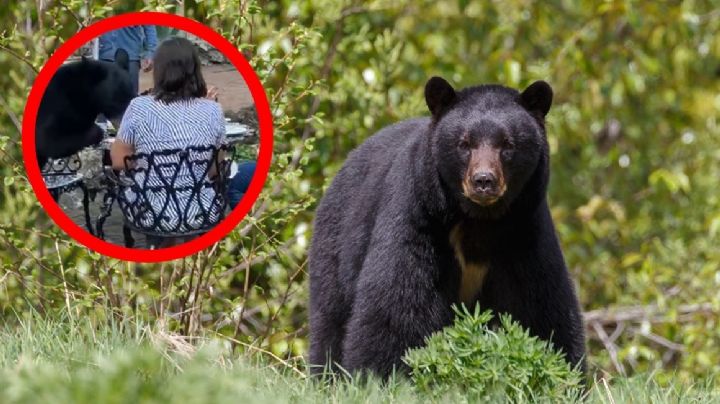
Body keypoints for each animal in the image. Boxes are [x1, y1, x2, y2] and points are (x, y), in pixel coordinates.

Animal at [308, 76, 586, 378]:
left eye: (508, 144)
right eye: (464, 143)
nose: (484, 181)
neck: (478, 220)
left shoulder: (524, 231)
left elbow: (540, 305)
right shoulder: (419, 218)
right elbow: (398, 302)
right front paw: (379, 375)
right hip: (337, 243)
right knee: (330, 317)